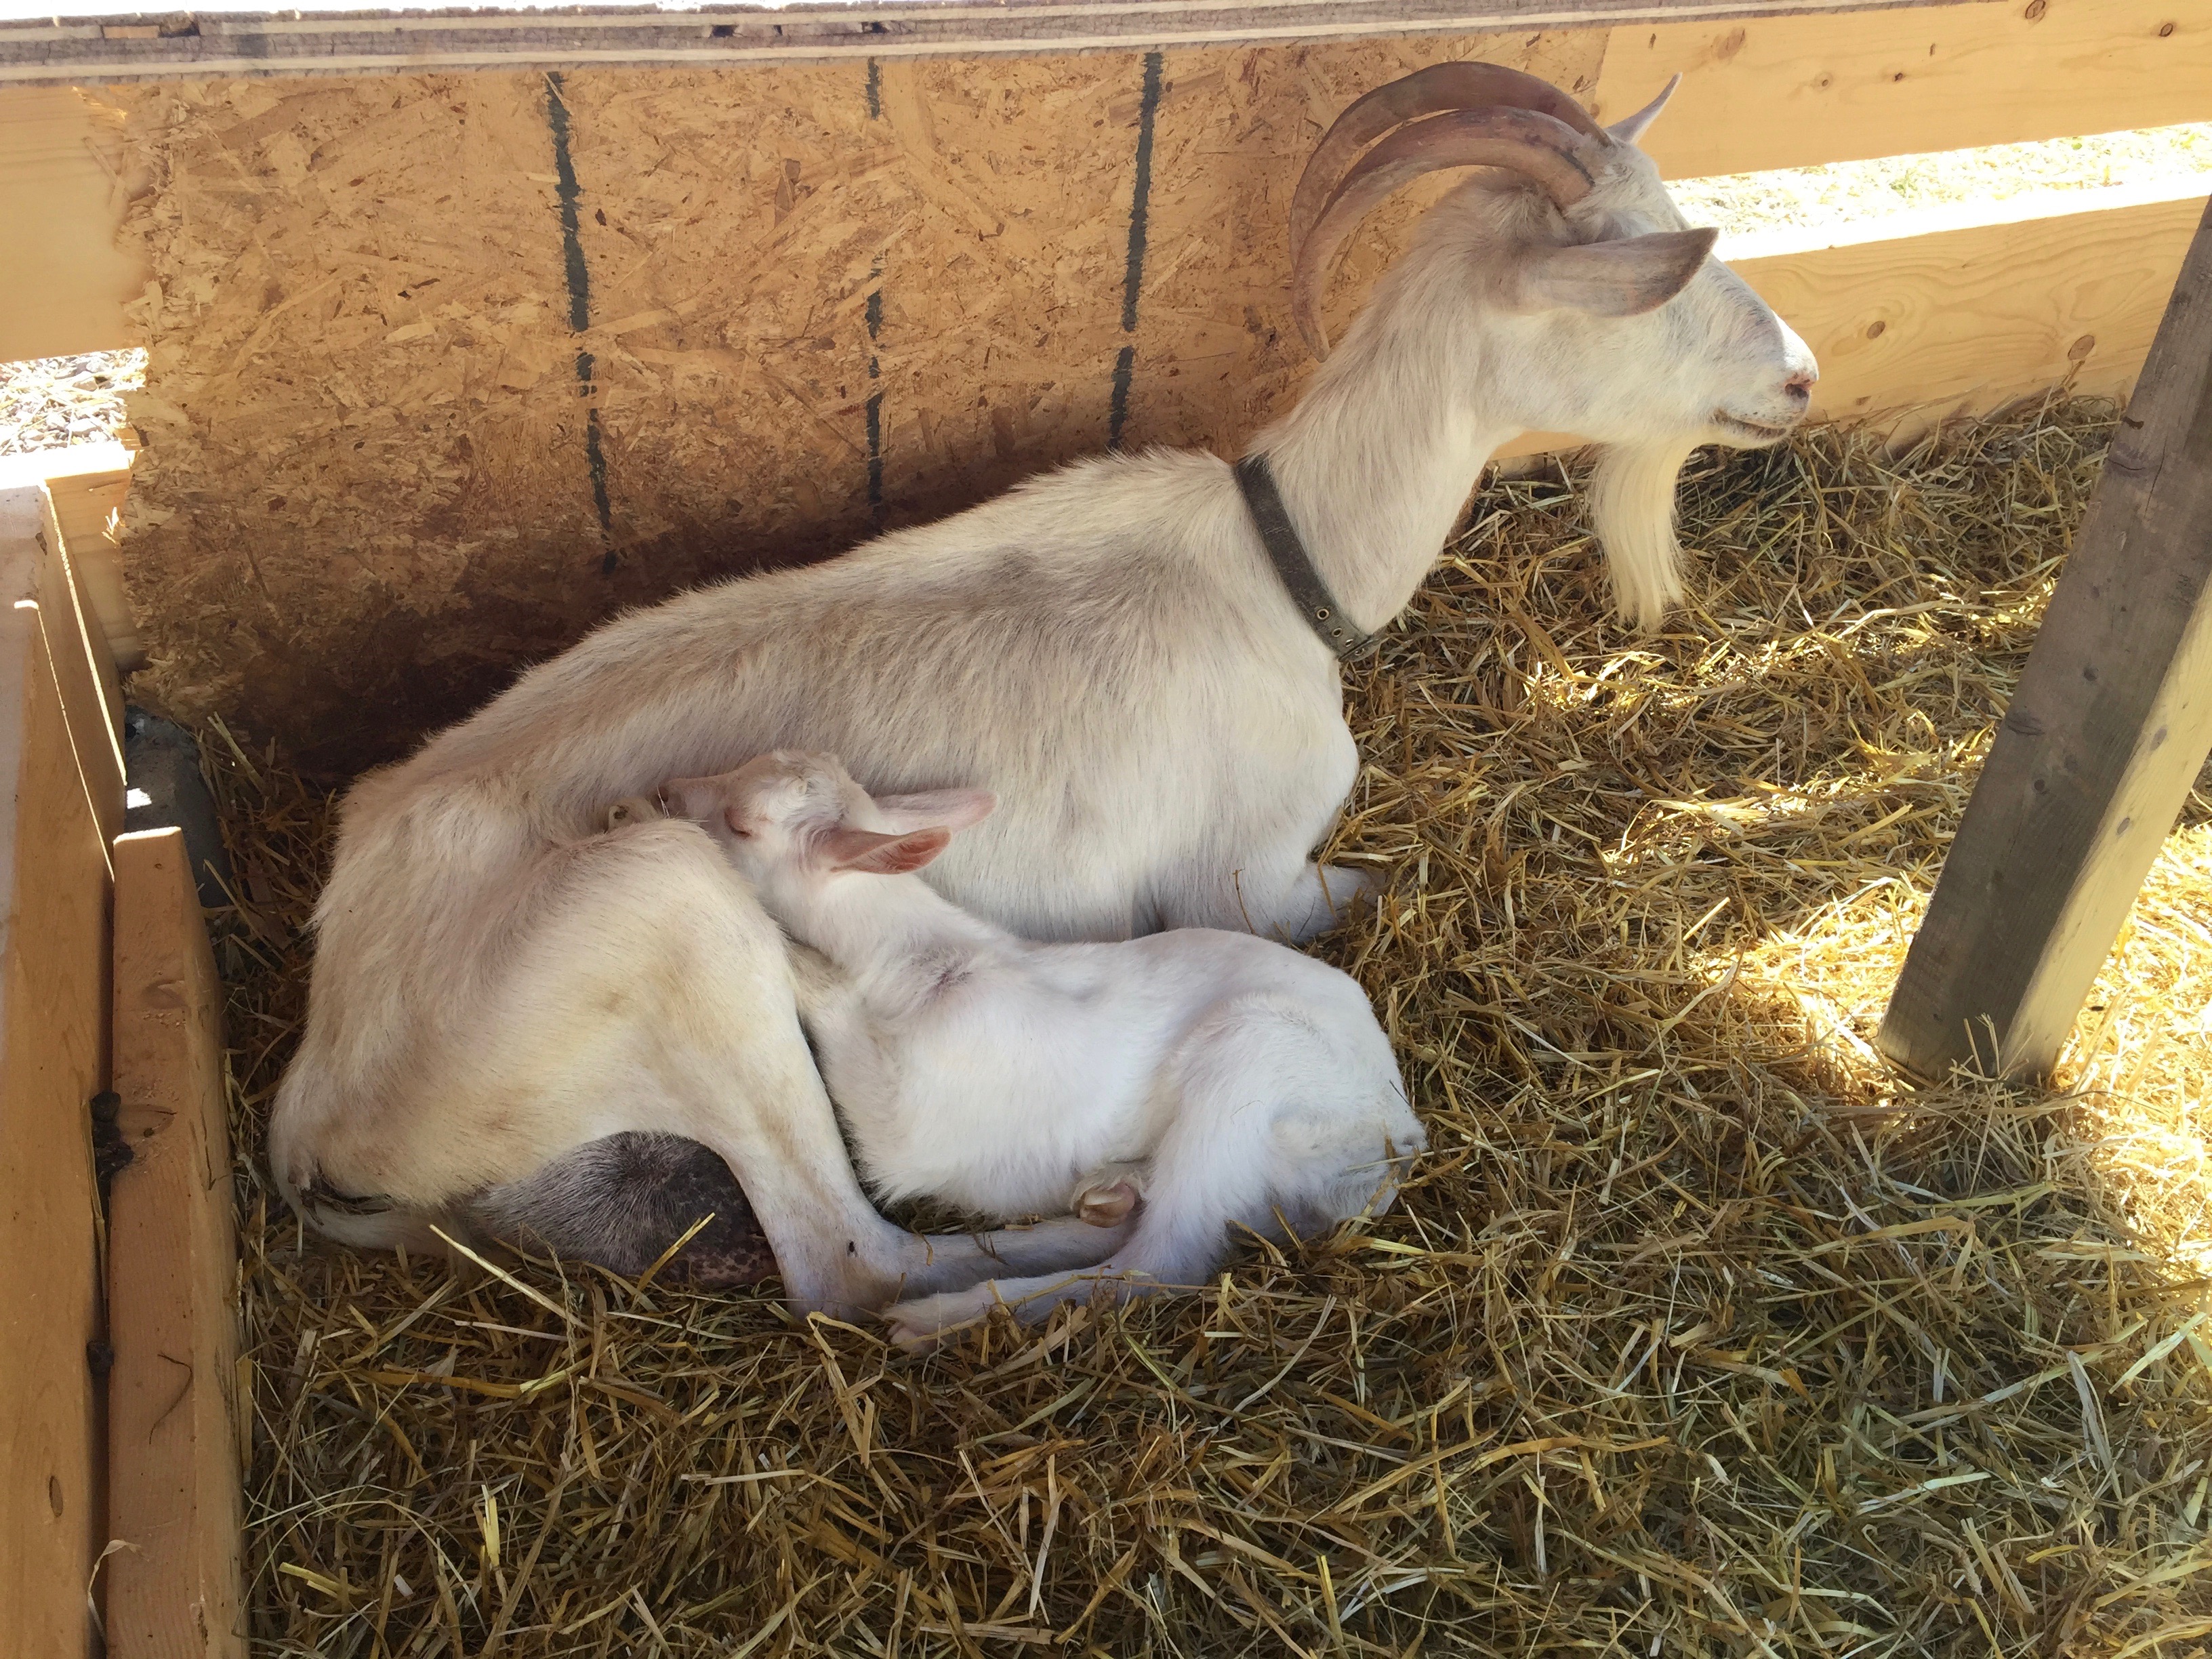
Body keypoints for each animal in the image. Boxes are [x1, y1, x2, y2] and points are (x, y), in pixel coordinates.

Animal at [661, 751, 1423, 1349]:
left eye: (741, 824)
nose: (666, 792)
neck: (917, 959)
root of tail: (1398, 1134)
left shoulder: (907, 1115)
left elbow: (820, 994)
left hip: (1249, 1065)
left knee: (1158, 1263)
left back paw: (940, 1319)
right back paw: (1108, 1193)